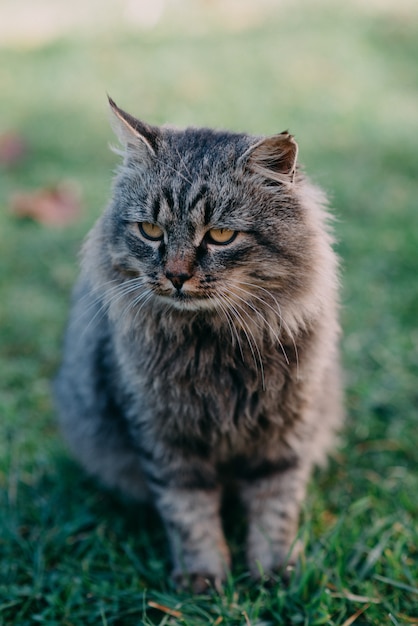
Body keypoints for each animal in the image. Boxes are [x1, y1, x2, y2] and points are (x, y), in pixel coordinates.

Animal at [54, 96, 342, 588]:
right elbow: (188, 512)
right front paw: (202, 576)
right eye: (151, 231)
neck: (214, 346)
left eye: (221, 235)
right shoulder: (165, 437)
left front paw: (273, 572)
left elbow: (276, 508)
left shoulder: (286, 434)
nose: (175, 275)